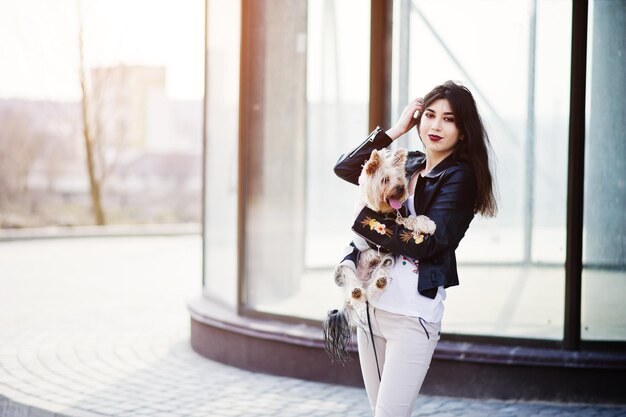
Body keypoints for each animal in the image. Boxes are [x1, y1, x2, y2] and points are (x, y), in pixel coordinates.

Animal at [324, 147, 436, 360]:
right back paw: (357, 291)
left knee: (375, 283)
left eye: (400, 179)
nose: (400, 189)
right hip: (347, 263)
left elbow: (409, 219)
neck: (384, 211)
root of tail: (364, 279)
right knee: (354, 286)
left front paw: (426, 223)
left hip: (386, 261)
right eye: (385, 180)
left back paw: (378, 283)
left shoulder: (398, 220)